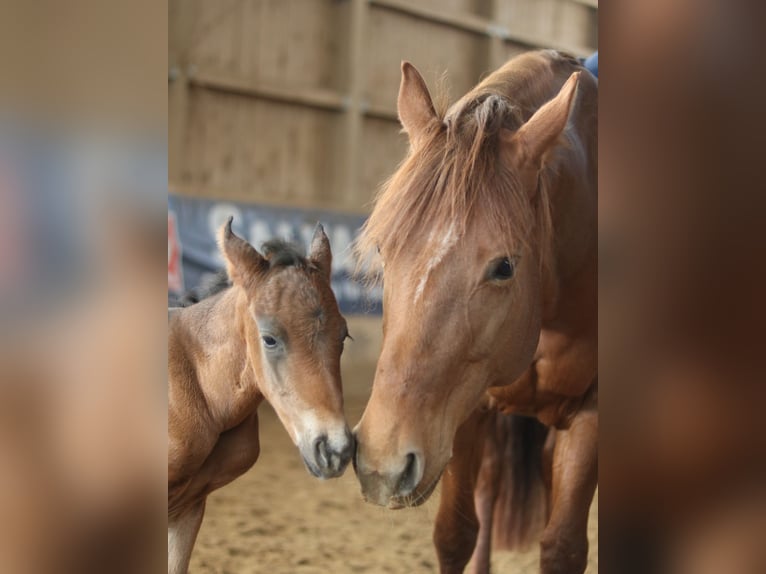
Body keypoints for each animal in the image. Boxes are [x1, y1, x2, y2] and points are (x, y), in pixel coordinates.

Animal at [354, 50, 600, 574]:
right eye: (384, 250)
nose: (383, 463)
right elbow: (454, 534)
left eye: (503, 266)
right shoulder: (464, 411)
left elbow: (564, 546)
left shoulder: (591, 416)